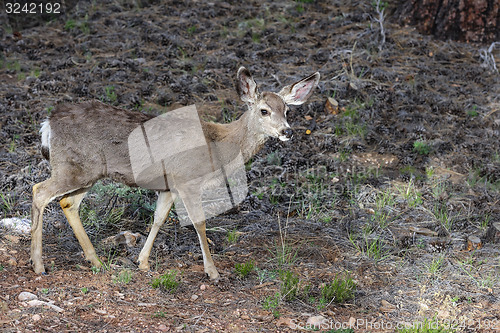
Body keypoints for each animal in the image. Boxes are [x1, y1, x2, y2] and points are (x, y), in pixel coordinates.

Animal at [32, 66, 320, 278]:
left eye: (287, 110)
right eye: (264, 110)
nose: (287, 131)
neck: (219, 145)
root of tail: (48, 123)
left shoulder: (168, 185)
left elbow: (158, 218)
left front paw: (142, 262)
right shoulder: (187, 179)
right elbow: (199, 222)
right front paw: (212, 272)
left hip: (86, 172)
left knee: (67, 202)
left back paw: (96, 261)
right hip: (75, 167)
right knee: (39, 191)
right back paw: (38, 264)